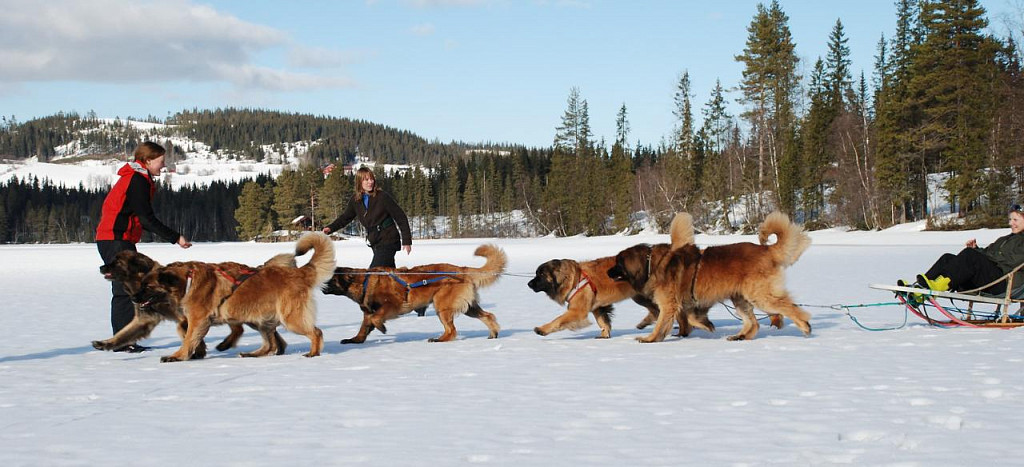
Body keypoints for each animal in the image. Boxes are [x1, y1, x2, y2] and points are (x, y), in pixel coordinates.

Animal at [92, 251, 288, 358]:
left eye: (117, 262)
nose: (101, 267)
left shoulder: (186, 317)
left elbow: (185, 332)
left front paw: (196, 352)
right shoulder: (144, 320)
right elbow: (122, 334)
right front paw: (104, 344)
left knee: (243, 329)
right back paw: (278, 348)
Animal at [132, 232, 335, 360]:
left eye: (148, 286)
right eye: (141, 284)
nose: (134, 298)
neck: (187, 280)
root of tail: (299, 273)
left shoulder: (198, 320)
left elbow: (188, 339)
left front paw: (178, 356)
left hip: (291, 318)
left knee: (316, 332)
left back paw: (313, 353)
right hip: (259, 320)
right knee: (271, 345)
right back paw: (251, 354)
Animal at [323, 244, 507, 342]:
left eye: (331, 279)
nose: (322, 286)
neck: (364, 281)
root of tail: (462, 270)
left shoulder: (392, 305)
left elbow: (376, 318)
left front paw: (382, 327)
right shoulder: (368, 312)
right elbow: (364, 327)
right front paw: (354, 340)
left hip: (442, 306)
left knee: (451, 330)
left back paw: (439, 339)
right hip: (468, 307)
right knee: (488, 315)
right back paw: (493, 333)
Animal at [528, 257, 712, 337]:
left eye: (540, 275)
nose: (529, 284)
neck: (573, 279)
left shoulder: (577, 310)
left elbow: (558, 320)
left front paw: (542, 329)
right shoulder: (597, 307)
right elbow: (603, 321)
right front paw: (604, 334)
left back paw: (682, 332)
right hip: (641, 296)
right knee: (658, 311)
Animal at [606, 211, 815, 342]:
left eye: (618, 264)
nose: (608, 272)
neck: (651, 264)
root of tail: (766, 250)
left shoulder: (669, 304)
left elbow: (661, 324)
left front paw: (649, 339)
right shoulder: (688, 303)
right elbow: (691, 319)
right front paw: (707, 326)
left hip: (760, 296)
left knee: (789, 307)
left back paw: (805, 326)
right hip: (740, 298)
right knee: (753, 323)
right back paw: (740, 336)